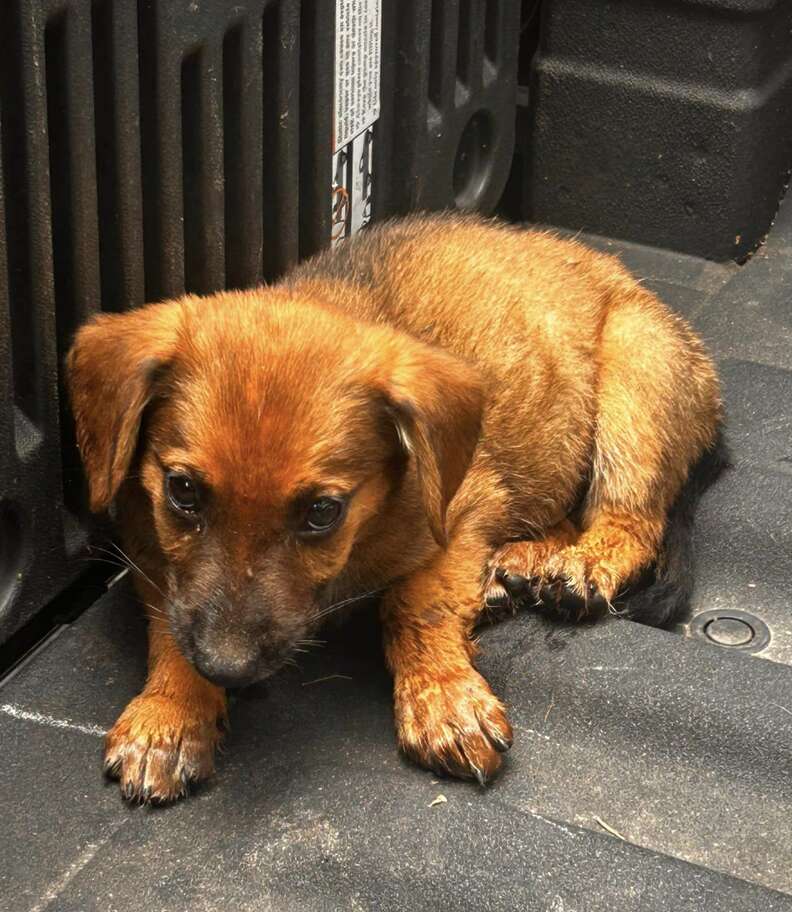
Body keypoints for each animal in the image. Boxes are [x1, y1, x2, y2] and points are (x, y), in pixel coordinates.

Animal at [69, 214, 724, 800]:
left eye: (322, 512)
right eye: (182, 491)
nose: (226, 669)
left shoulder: (462, 512)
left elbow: (415, 604)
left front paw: (442, 697)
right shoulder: (148, 545)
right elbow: (171, 623)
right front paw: (171, 715)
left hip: (638, 381)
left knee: (631, 521)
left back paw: (582, 566)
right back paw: (516, 568)